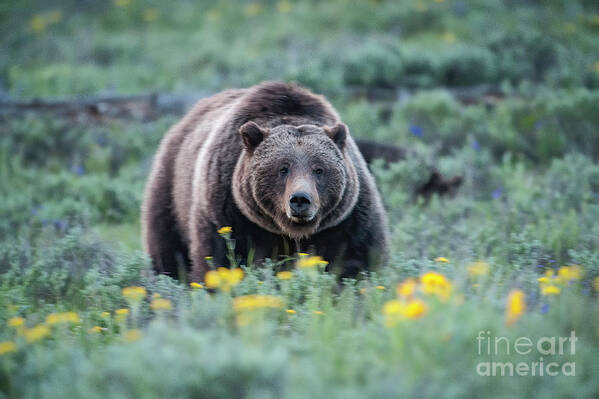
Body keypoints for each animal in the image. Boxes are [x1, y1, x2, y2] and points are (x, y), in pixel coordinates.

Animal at [144, 81, 392, 282]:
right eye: (283, 168)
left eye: (319, 169)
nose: (300, 200)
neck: (291, 233)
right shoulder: (228, 211)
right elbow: (221, 257)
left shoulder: (346, 219)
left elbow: (357, 258)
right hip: (171, 191)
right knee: (167, 250)